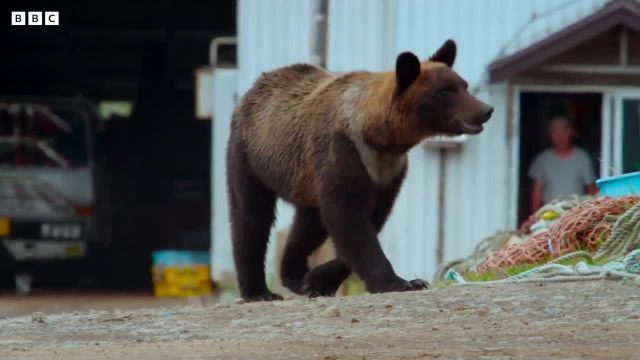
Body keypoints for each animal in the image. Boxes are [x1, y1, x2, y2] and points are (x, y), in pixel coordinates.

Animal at [228, 39, 492, 300]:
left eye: (463, 85)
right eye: (447, 90)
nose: (485, 110)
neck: (382, 137)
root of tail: (258, 83)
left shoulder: (387, 171)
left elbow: (371, 218)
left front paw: (318, 280)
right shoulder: (345, 152)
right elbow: (348, 217)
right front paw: (399, 282)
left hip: (304, 182)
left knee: (307, 225)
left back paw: (294, 275)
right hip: (251, 154)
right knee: (251, 216)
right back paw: (259, 291)